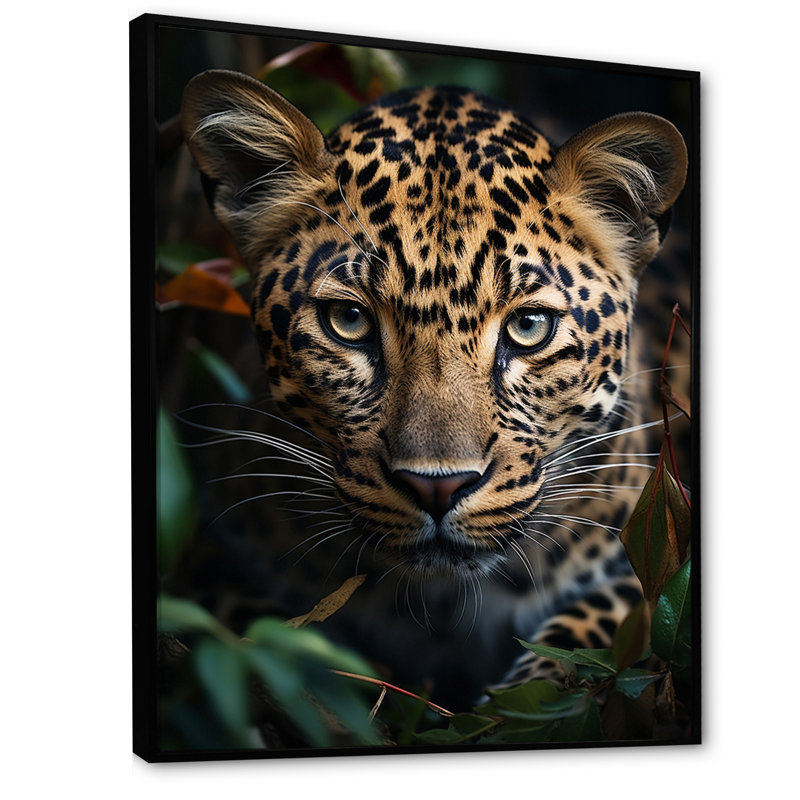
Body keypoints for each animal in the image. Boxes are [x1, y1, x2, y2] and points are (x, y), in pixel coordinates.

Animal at [176, 69, 689, 709]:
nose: (437, 487)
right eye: (349, 321)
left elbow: (588, 637)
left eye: (528, 327)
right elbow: (254, 639)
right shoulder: (212, 559)